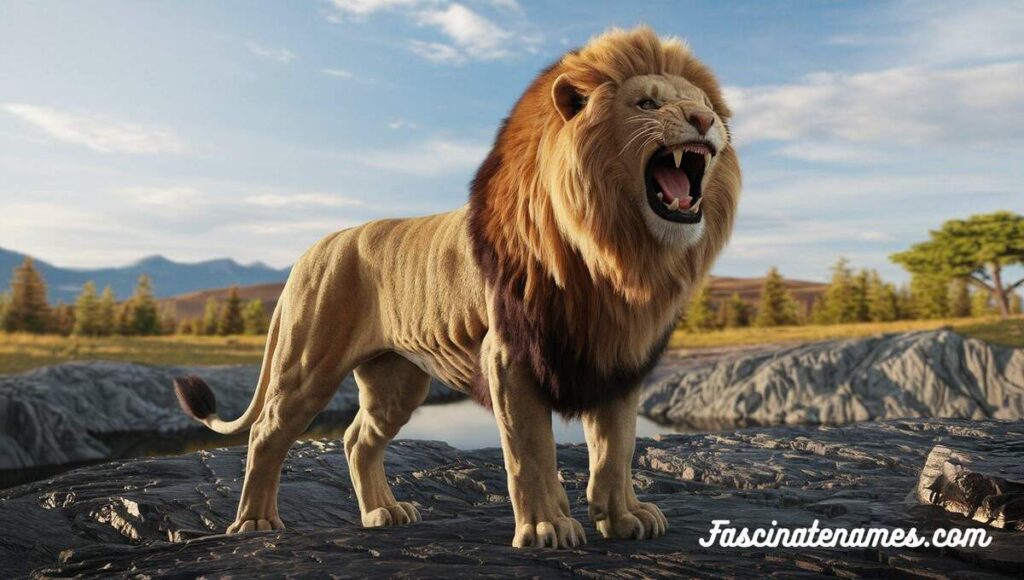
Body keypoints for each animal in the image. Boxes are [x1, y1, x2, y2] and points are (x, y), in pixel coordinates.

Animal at [174, 26, 740, 549]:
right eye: (647, 103)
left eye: (705, 105)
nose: (704, 121)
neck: (614, 255)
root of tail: (314, 248)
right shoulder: (508, 358)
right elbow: (532, 452)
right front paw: (547, 527)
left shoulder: (621, 357)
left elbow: (617, 445)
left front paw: (624, 517)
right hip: (308, 362)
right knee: (267, 431)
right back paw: (255, 523)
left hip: (396, 381)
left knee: (357, 438)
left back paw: (385, 513)